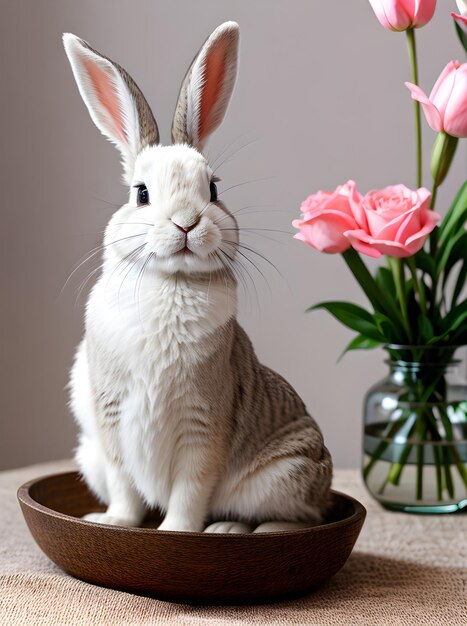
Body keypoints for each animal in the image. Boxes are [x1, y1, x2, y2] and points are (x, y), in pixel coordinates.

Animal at [63, 23, 332, 532]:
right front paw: (114, 523)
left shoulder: (204, 424)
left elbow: (190, 491)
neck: (170, 281)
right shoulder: (111, 426)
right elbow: (127, 489)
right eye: (141, 193)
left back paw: (232, 528)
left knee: (299, 519)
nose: (186, 223)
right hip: (88, 454)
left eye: (212, 188)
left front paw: (175, 532)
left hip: (287, 473)